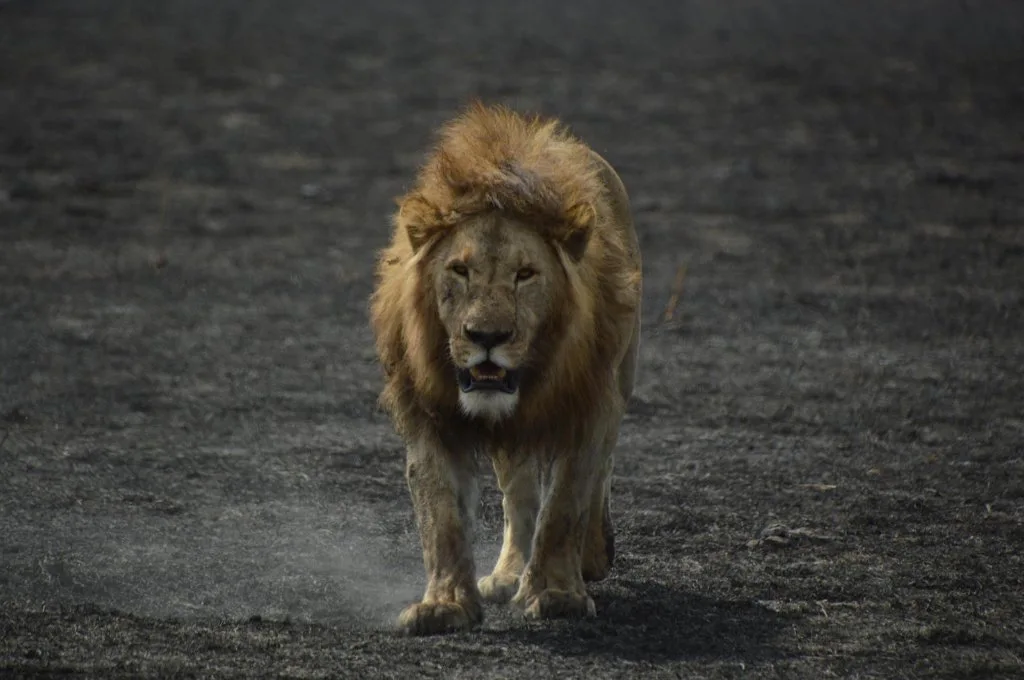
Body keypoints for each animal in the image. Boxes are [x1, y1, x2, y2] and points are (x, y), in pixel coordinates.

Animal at [369, 101, 642, 636]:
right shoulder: (429, 415)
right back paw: (510, 572)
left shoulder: (590, 405)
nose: (487, 337)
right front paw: (446, 604)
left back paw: (593, 554)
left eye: (526, 274)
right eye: (459, 270)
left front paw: (556, 594)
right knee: (518, 497)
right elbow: (440, 513)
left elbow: (566, 503)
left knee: (597, 474)